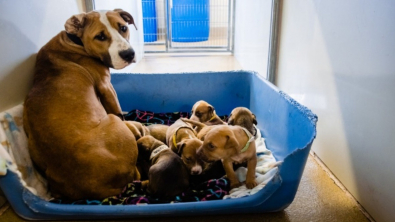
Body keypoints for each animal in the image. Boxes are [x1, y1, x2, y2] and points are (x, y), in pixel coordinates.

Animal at [22, 9, 141, 199]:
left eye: (123, 28)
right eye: (100, 37)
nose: (128, 54)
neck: (74, 41)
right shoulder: (106, 86)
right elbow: (117, 110)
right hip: (112, 121)